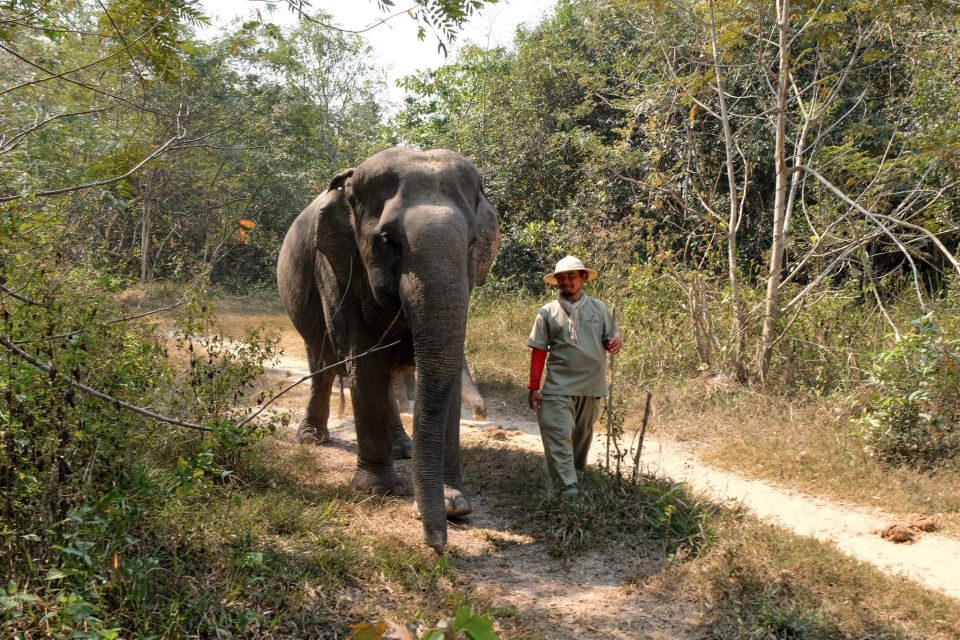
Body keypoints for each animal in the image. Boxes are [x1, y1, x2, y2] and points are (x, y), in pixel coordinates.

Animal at [276, 148, 498, 552]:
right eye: (387, 240)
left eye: (473, 242)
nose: (437, 543)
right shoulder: (338, 268)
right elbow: (363, 362)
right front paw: (378, 490)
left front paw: (456, 504)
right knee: (323, 362)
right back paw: (312, 439)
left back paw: (403, 449)